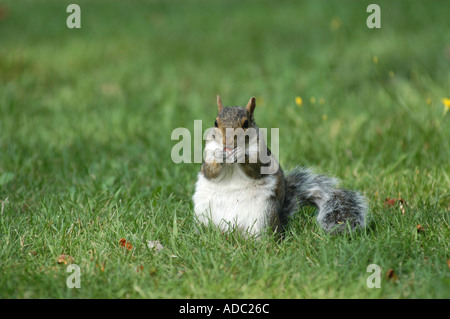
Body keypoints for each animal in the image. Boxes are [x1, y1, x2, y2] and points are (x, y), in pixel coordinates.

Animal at [192, 95, 368, 238]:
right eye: (215, 122)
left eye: (246, 123)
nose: (227, 144)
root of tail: (231, 230)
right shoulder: (208, 153)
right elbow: (210, 171)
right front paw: (219, 155)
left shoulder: (261, 155)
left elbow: (255, 169)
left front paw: (241, 154)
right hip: (203, 212)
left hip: (262, 215)